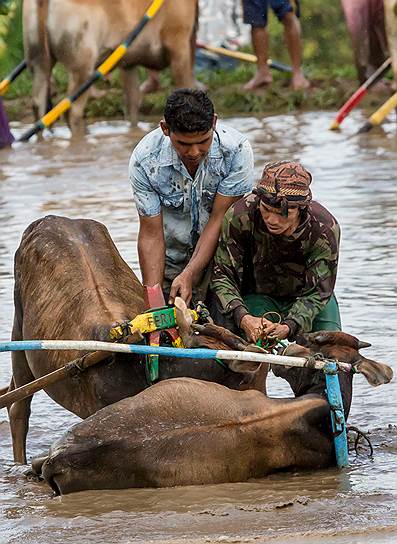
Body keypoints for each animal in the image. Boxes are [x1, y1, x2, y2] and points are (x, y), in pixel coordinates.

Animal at [10, 216, 266, 464]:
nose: (264, 399)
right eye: (245, 380)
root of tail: (47, 219)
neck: (145, 363)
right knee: (18, 407)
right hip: (19, 326)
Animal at [22, 0, 197, 136]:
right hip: (83, 66)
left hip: (38, 63)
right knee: (72, 112)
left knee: (38, 107)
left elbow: (132, 106)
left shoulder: (129, 65)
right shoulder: (179, 46)